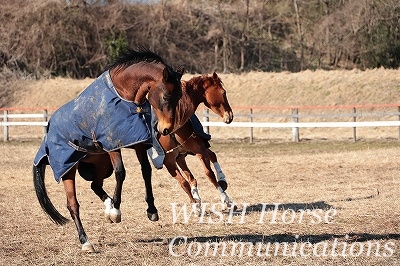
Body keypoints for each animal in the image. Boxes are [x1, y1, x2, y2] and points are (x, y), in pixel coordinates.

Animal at [32, 47, 184, 254]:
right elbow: (121, 172)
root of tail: (47, 136)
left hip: (101, 165)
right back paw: (86, 241)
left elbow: (146, 171)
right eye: (166, 96)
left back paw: (107, 206)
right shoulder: (113, 145)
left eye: (180, 97)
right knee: (73, 205)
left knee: (95, 185)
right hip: (68, 169)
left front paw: (151, 210)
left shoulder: (138, 143)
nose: (166, 129)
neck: (125, 96)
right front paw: (116, 211)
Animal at [153, 72, 234, 216]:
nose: (230, 116)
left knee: (212, 156)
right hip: (181, 157)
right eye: (223, 92)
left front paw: (226, 199)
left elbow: (209, 174)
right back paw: (197, 198)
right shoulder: (169, 162)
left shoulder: (199, 151)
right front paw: (195, 206)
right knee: (191, 178)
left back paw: (222, 179)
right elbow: (184, 183)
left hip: (195, 149)